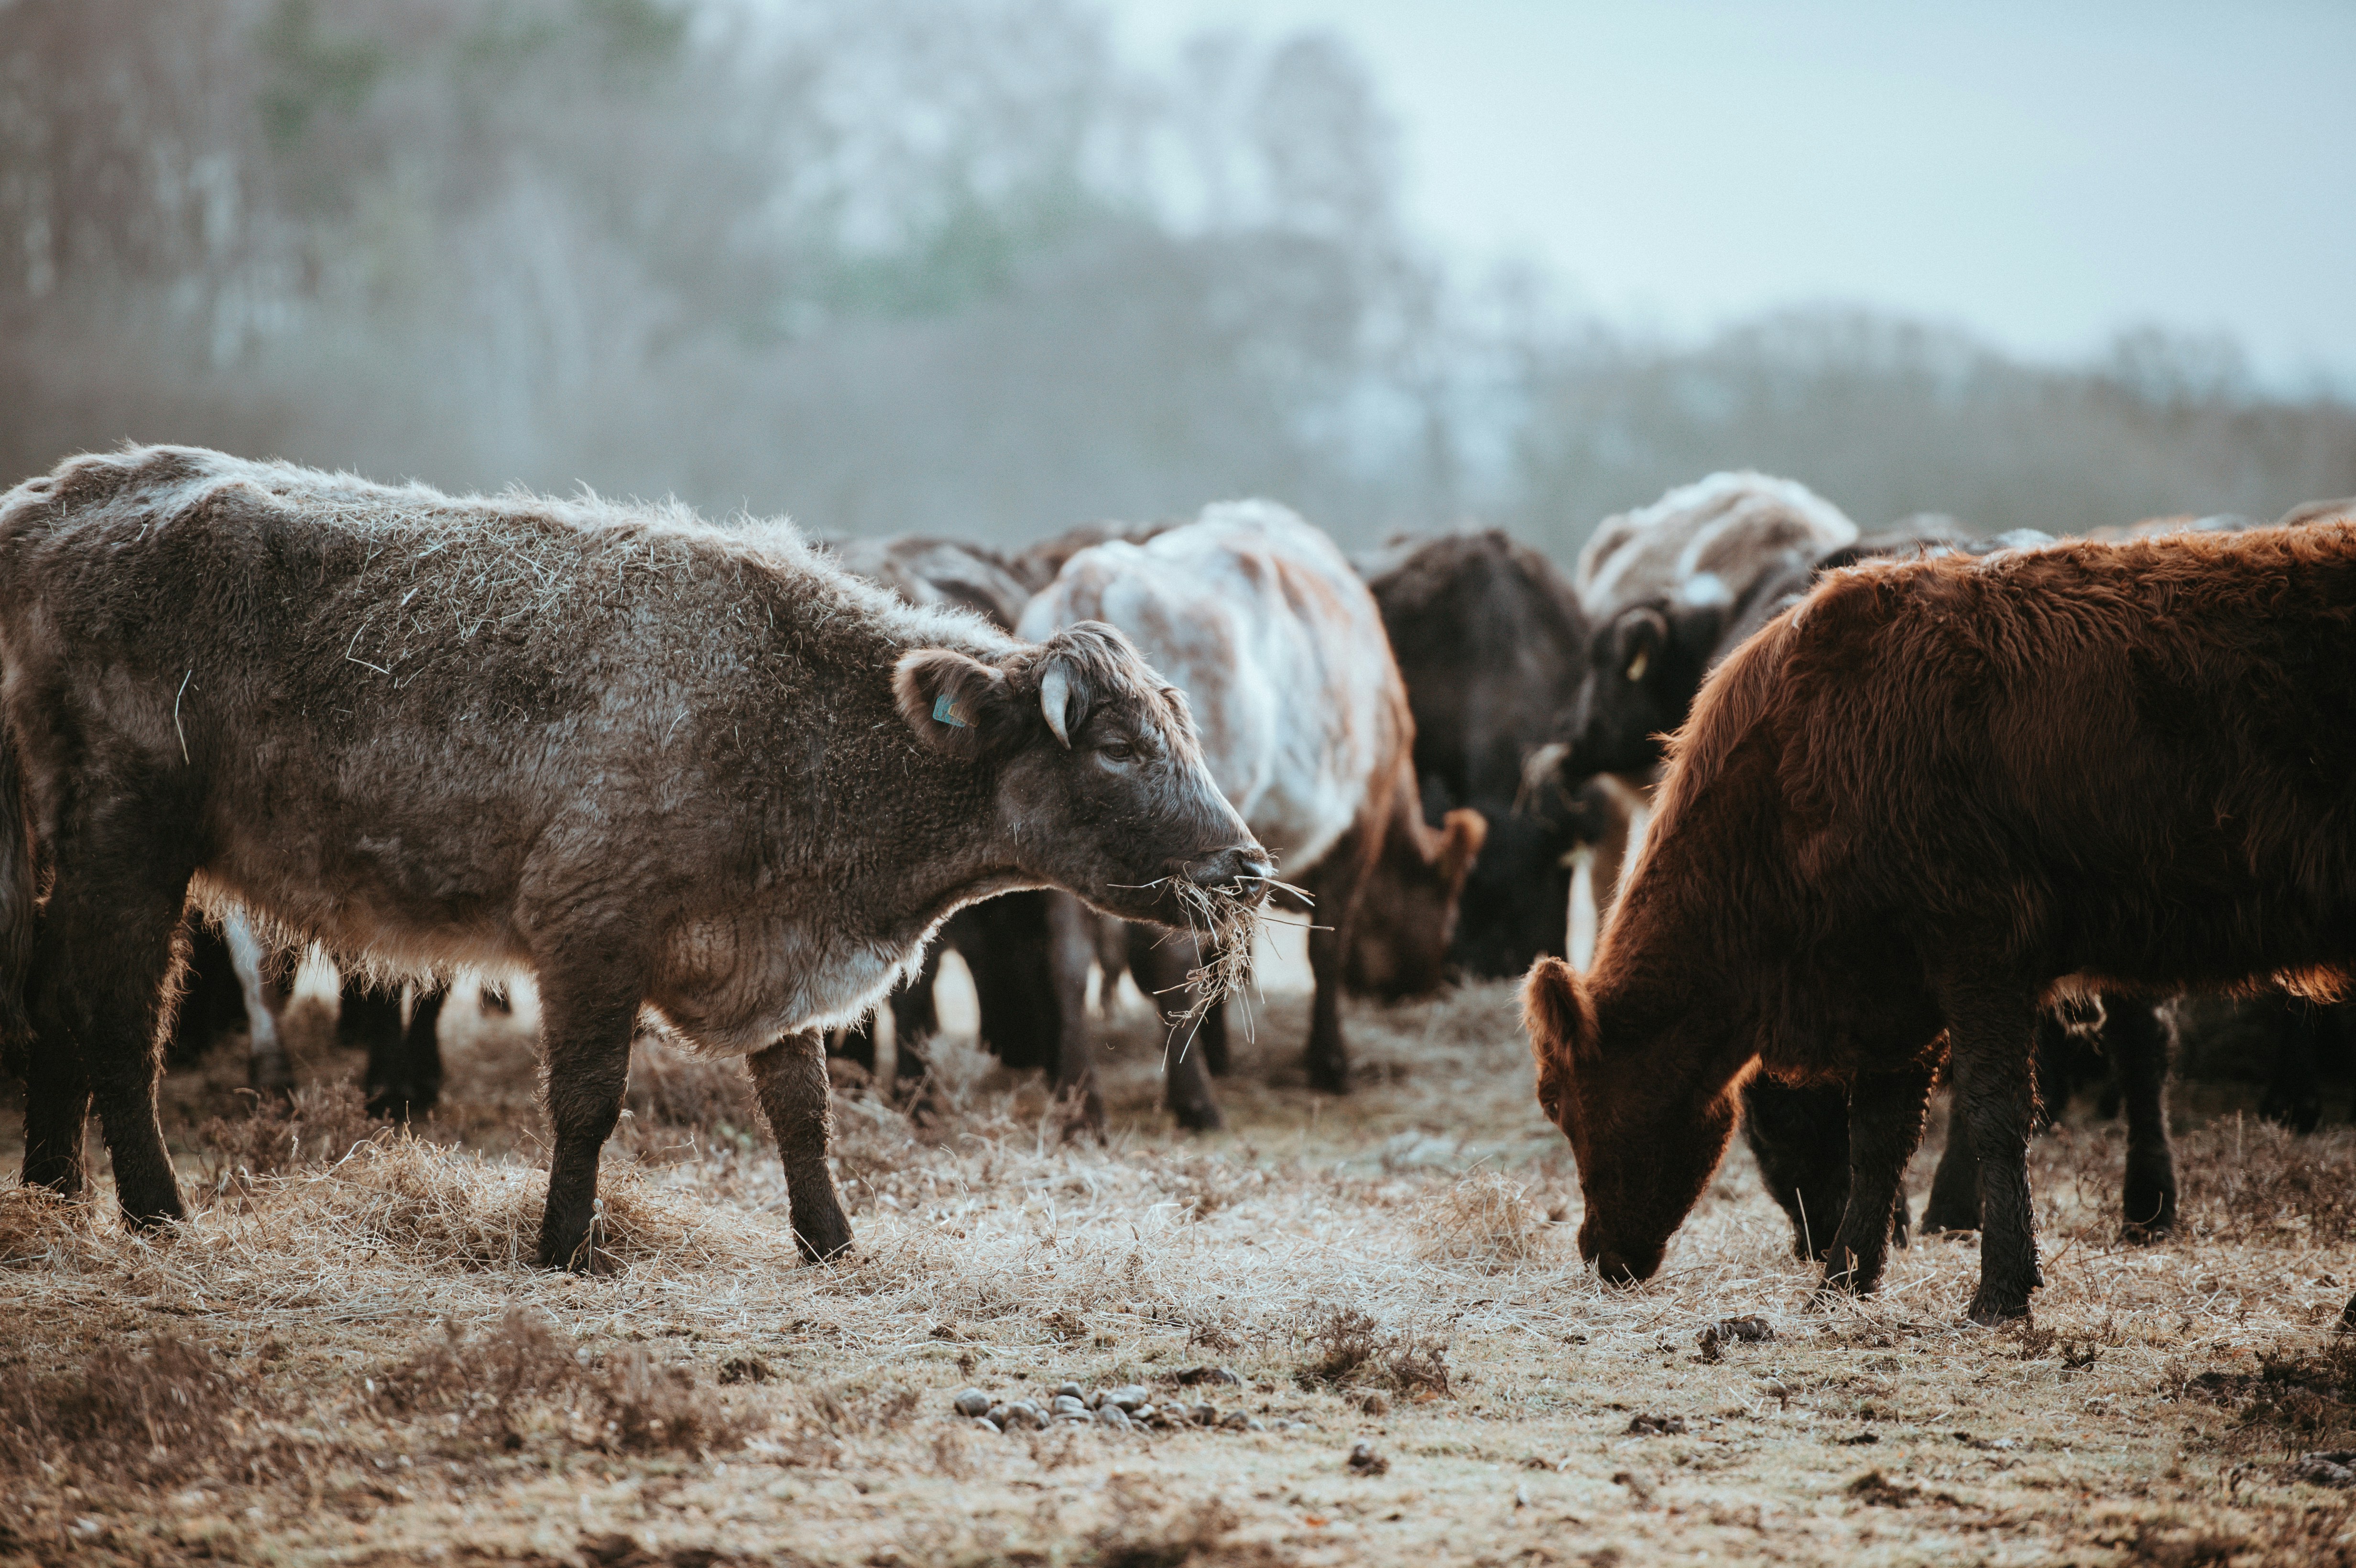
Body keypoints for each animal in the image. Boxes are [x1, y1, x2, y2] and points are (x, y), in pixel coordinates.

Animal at [0, 445, 1269, 1270]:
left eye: (1182, 728)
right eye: (1114, 745)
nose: (1247, 864)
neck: (793, 716)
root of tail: (61, 495)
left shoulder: (773, 956)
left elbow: (801, 1108)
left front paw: (830, 1238)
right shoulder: (589, 932)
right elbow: (587, 1104)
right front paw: (565, 1245)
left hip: (74, 851)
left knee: (56, 1005)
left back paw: (55, 1190)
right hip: (131, 841)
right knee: (117, 1022)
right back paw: (157, 1211)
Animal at [1020, 500, 1485, 1130]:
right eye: (1449, 904)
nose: (1433, 984)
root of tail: (1090, 580)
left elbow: (1224, 953)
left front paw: (1219, 1049)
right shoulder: (1357, 821)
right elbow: (1324, 949)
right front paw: (1329, 1064)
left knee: (1066, 962)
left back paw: (1081, 1104)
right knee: (1166, 962)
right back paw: (1194, 1101)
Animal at [1524, 519, 2356, 1323]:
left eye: (1559, 1102)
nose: (1600, 1253)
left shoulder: (1979, 949)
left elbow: (1995, 1114)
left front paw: (2001, 1289)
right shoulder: (1896, 982)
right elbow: (1881, 1138)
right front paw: (1843, 1279)